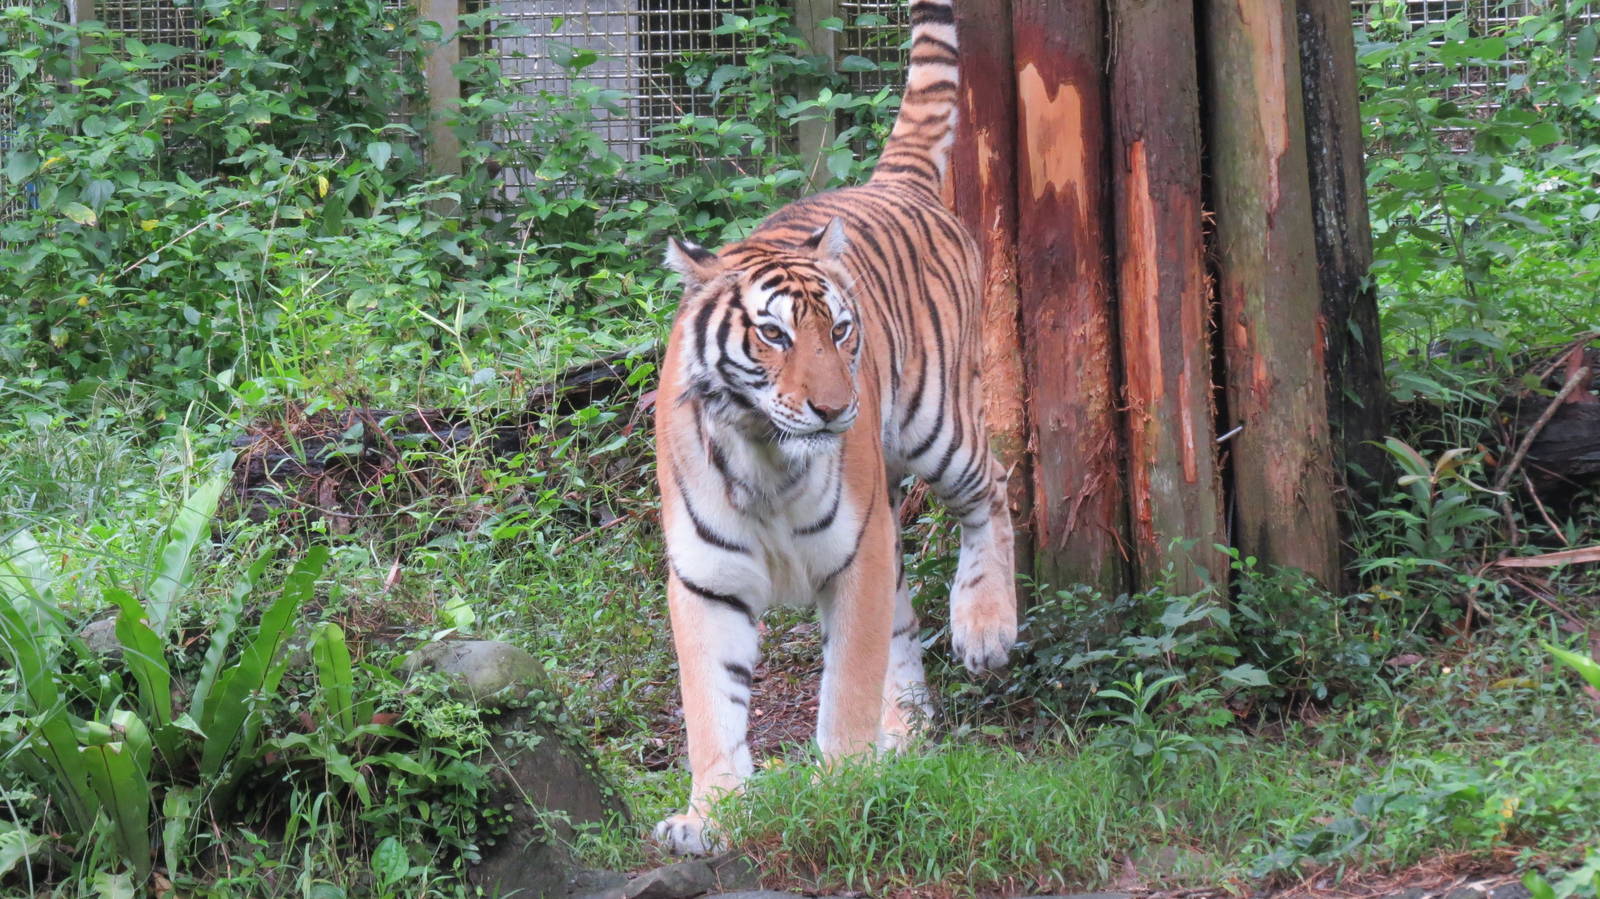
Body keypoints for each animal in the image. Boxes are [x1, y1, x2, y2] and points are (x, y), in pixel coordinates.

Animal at [651, 0, 1016, 856]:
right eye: (773, 335)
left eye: (842, 331)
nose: (835, 408)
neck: (762, 455)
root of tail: (891, 182)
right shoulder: (706, 580)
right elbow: (711, 706)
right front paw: (708, 817)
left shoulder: (857, 552)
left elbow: (847, 679)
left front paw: (844, 785)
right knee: (908, 616)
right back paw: (908, 736)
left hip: (939, 426)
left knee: (993, 487)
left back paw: (985, 627)